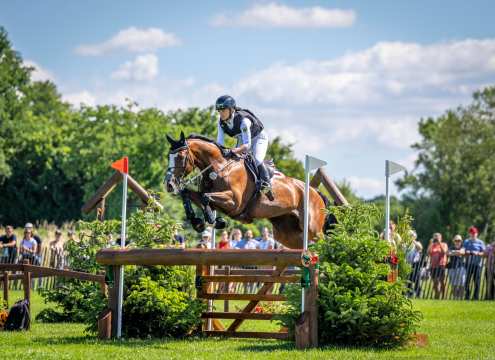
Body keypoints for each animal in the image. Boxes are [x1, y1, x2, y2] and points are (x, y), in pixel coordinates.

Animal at [165, 132, 332, 250]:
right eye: (168, 156)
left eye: (181, 157)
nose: (169, 184)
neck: (220, 167)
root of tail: (315, 193)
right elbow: (189, 193)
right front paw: (198, 222)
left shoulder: (234, 203)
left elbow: (205, 197)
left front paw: (214, 220)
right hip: (287, 234)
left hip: (312, 229)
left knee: (322, 241)